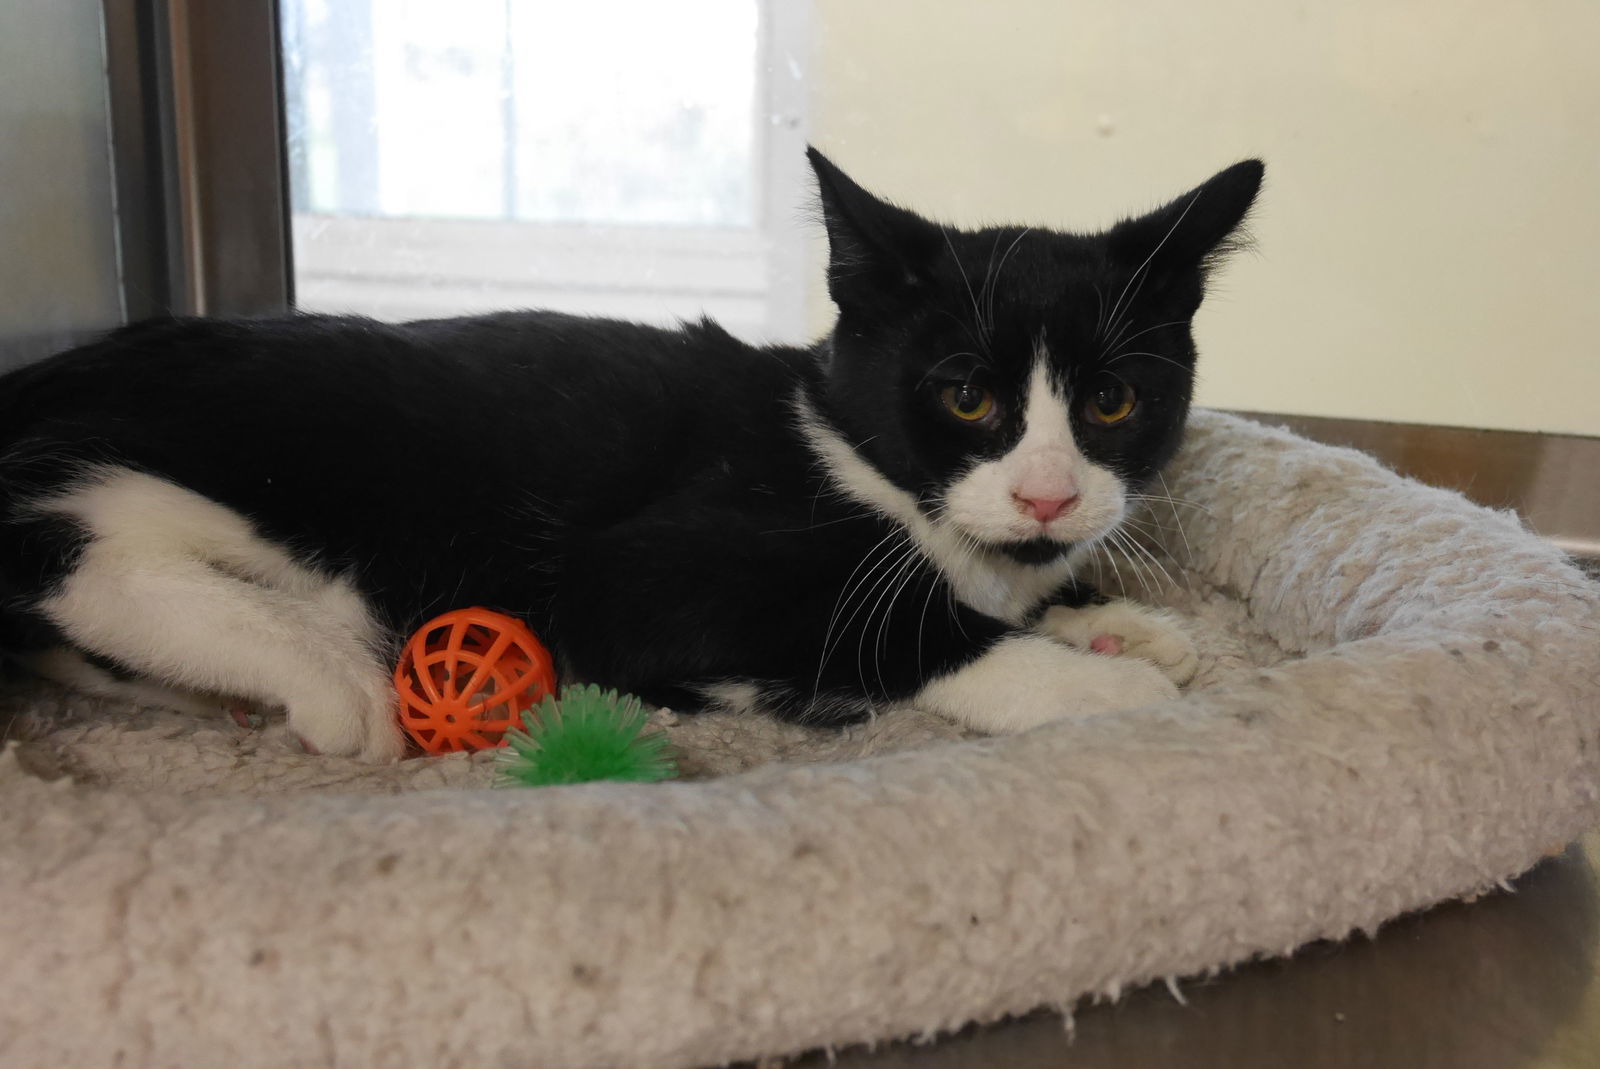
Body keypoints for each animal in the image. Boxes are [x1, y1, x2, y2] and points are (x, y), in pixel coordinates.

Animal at [0, 150, 1260, 764]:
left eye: (1110, 401)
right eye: (966, 397)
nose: (1048, 494)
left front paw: (1112, 620)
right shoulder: (635, 570)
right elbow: (883, 630)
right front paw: (1094, 680)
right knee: (80, 550)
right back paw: (323, 672)